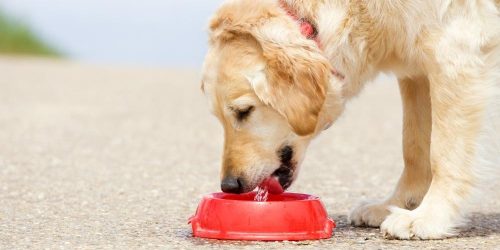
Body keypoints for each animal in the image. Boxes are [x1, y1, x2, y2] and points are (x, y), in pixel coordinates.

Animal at [200, 0, 500, 239]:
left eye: (243, 111)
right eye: (218, 117)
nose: (229, 186)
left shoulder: (454, 50)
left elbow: (443, 153)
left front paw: (429, 216)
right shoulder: (415, 70)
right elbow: (414, 147)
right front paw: (400, 204)